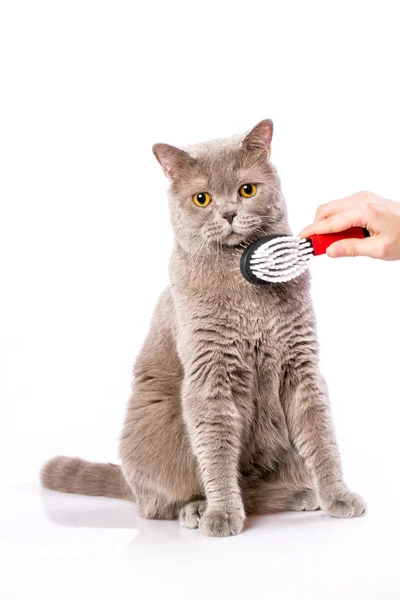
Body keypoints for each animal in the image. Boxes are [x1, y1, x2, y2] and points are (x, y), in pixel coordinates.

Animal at [41, 119, 366, 536]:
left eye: (247, 190)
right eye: (201, 199)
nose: (227, 213)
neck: (243, 279)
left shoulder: (301, 366)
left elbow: (320, 435)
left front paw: (338, 496)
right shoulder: (210, 373)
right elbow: (216, 449)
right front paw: (222, 513)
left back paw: (298, 494)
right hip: (158, 424)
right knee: (158, 503)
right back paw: (197, 508)